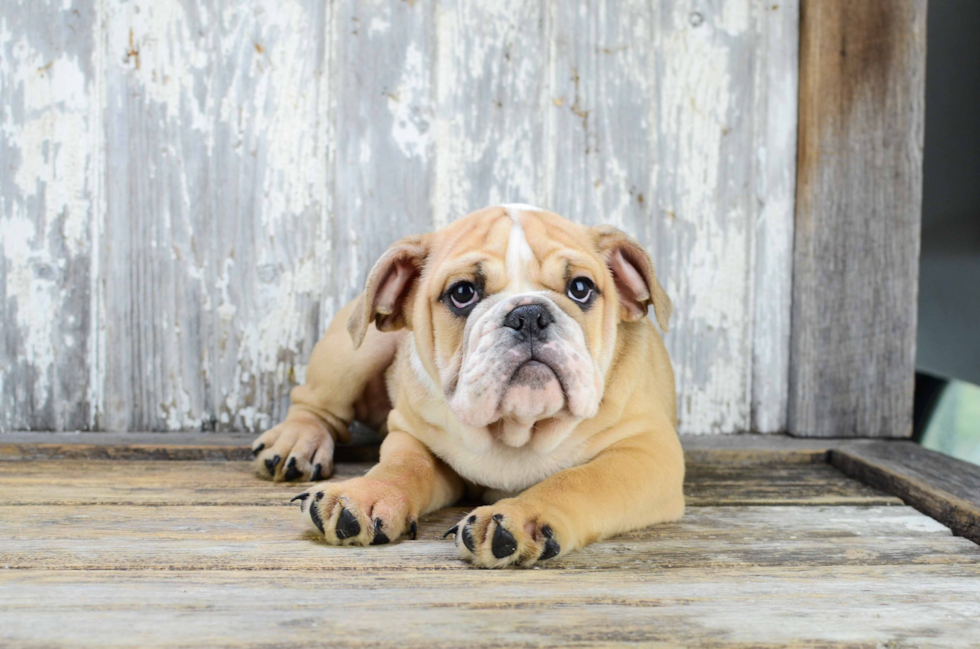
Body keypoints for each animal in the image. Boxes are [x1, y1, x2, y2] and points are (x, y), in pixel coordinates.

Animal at [249, 205, 684, 564]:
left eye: (580, 288)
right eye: (462, 293)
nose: (529, 314)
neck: (518, 430)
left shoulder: (646, 452)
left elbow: (577, 480)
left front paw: (520, 518)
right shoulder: (412, 436)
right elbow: (403, 466)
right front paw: (363, 495)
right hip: (355, 350)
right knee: (315, 406)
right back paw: (297, 441)